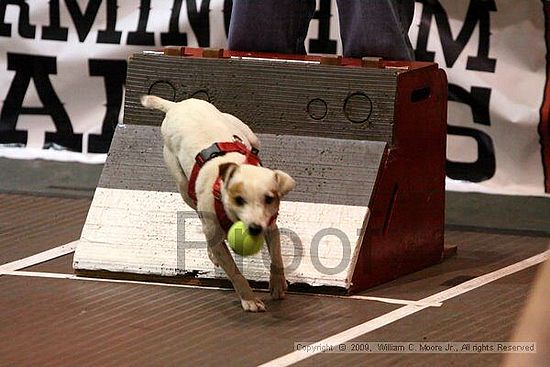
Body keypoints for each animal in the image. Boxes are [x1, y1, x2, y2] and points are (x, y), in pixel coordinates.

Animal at [142, 96, 298, 312]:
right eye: (239, 199)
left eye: (269, 199)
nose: (255, 228)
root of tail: (177, 105)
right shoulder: (215, 234)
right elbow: (234, 272)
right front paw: (249, 299)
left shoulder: (271, 227)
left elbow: (277, 257)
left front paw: (277, 283)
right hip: (183, 185)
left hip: (248, 133)